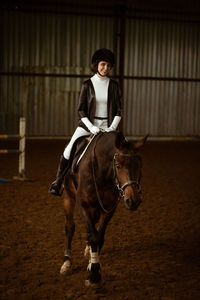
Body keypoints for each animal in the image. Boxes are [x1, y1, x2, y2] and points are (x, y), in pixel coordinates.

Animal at [59, 131, 147, 286]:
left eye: (139, 165)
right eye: (118, 165)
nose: (133, 200)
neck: (102, 170)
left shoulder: (109, 208)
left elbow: (99, 236)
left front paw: (92, 265)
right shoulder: (83, 204)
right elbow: (93, 236)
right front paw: (94, 274)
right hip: (68, 197)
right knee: (70, 227)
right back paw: (67, 262)